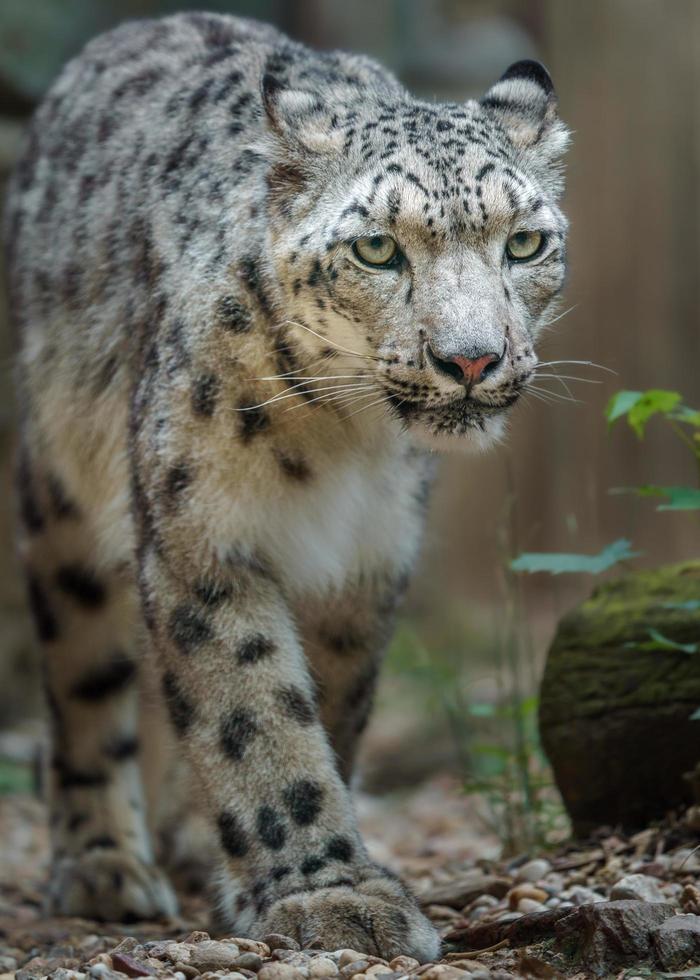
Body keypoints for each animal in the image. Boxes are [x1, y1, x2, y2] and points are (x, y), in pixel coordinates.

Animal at [2, 11, 568, 960]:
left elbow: (324, 703)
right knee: (81, 676)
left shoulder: (368, 558)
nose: (471, 359)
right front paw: (327, 894)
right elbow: (253, 709)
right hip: (61, 496)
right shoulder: (204, 535)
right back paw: (105, 864)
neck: (343, 443)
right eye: (377, 248)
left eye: (524, 241)